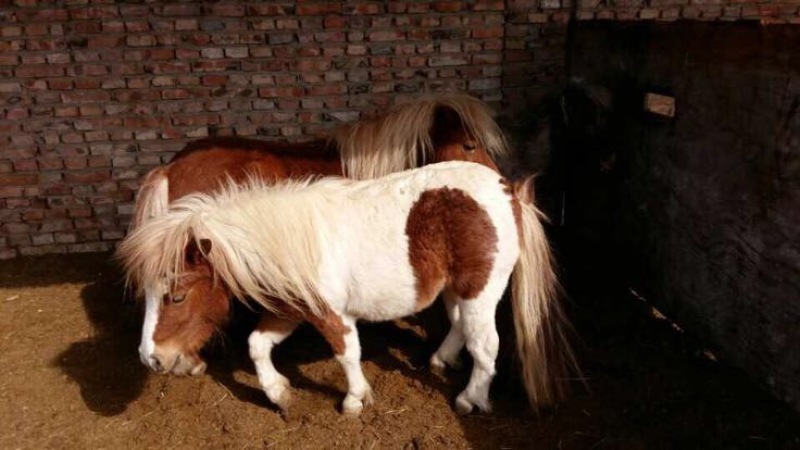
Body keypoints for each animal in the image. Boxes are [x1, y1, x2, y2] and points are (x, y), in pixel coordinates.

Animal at [118, 161, 577, 415]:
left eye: (176, 295)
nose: (151, 359)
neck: (289, 238)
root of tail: (507, 191)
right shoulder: (290, 310)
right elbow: (256, 345)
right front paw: (278, 392)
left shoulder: (330, 314)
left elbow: (348, 354)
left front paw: (355, 399)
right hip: (456, 291)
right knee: (461, 327)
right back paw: (440, 361)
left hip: (479, 291)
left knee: (486, 346)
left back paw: (470, 398)